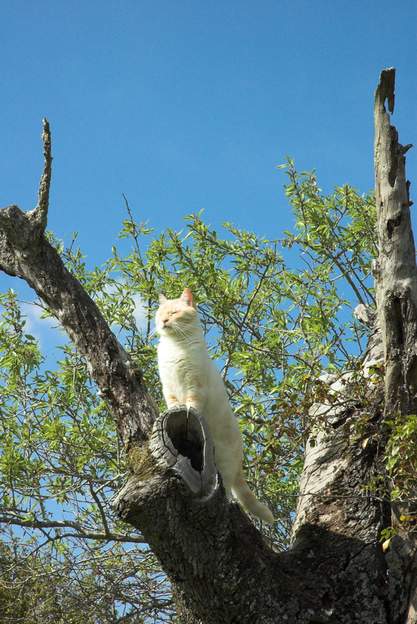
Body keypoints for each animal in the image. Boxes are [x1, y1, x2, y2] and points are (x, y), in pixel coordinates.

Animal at [155, 290, 272, 524]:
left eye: (174, 313)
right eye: (161, 314)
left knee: (226, 489)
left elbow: (191, 405)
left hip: (222, 465)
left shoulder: (195, 386)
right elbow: (173, 405)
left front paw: (189, 411)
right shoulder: (168, 387)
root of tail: (239, 461)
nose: (164, 321)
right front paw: (173, 411)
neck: (174, 347)